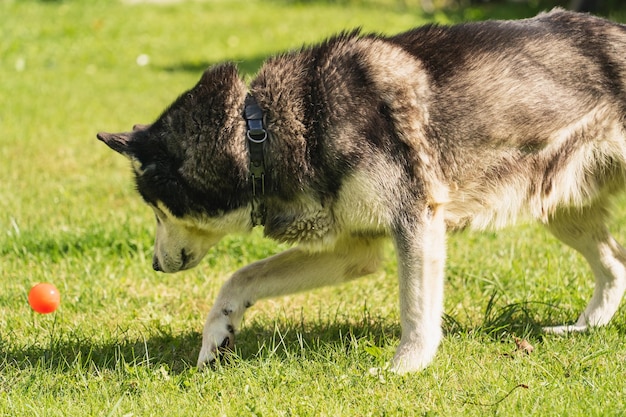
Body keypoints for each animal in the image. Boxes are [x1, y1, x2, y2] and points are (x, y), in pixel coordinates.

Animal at [97, 9, 624, 372]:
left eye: (158, 209)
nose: (154, 265)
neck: (259, 131)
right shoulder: (355, 247)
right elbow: (241, 277)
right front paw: (217, 334)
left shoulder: (416, 222)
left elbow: (417, 312)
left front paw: (404, 368)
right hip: (561, 207)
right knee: (615, 266)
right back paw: (582, 329)